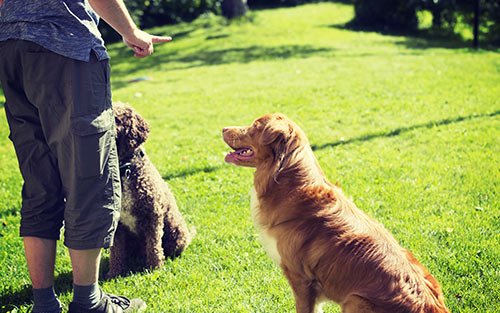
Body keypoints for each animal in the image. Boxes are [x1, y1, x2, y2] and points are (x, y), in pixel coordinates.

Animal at [107, 102, 193, 278]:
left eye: (117, 119)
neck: (125, 169)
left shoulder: (152, 215)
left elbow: (154, 246)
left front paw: (155, 269)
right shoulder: (118, 225)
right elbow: (116, 251)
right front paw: (114, 272)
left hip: (176, 231)